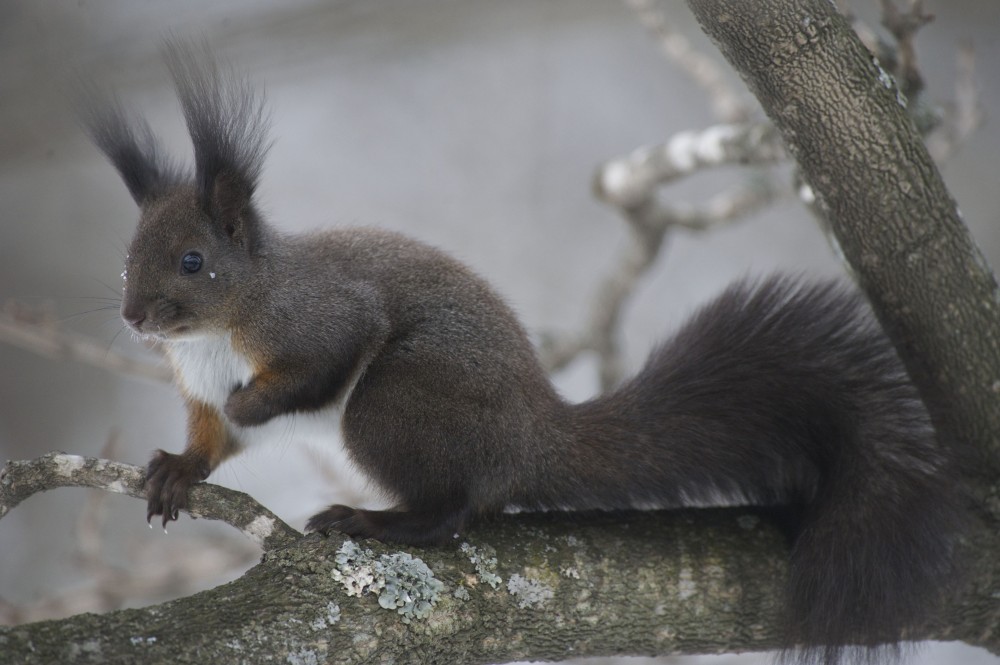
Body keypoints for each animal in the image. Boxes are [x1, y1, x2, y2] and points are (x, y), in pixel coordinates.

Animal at [84, 44, 960, 660]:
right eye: (127, 257)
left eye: (193, 260)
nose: (133, 316)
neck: (212, 336)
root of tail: (535, 436)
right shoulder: (196, 387)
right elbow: (213, 437)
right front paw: (177, 468)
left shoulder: (319, 317)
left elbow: (317, 365)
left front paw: (256, 399)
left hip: (394, 405)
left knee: (450, 514)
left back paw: (374, 519)